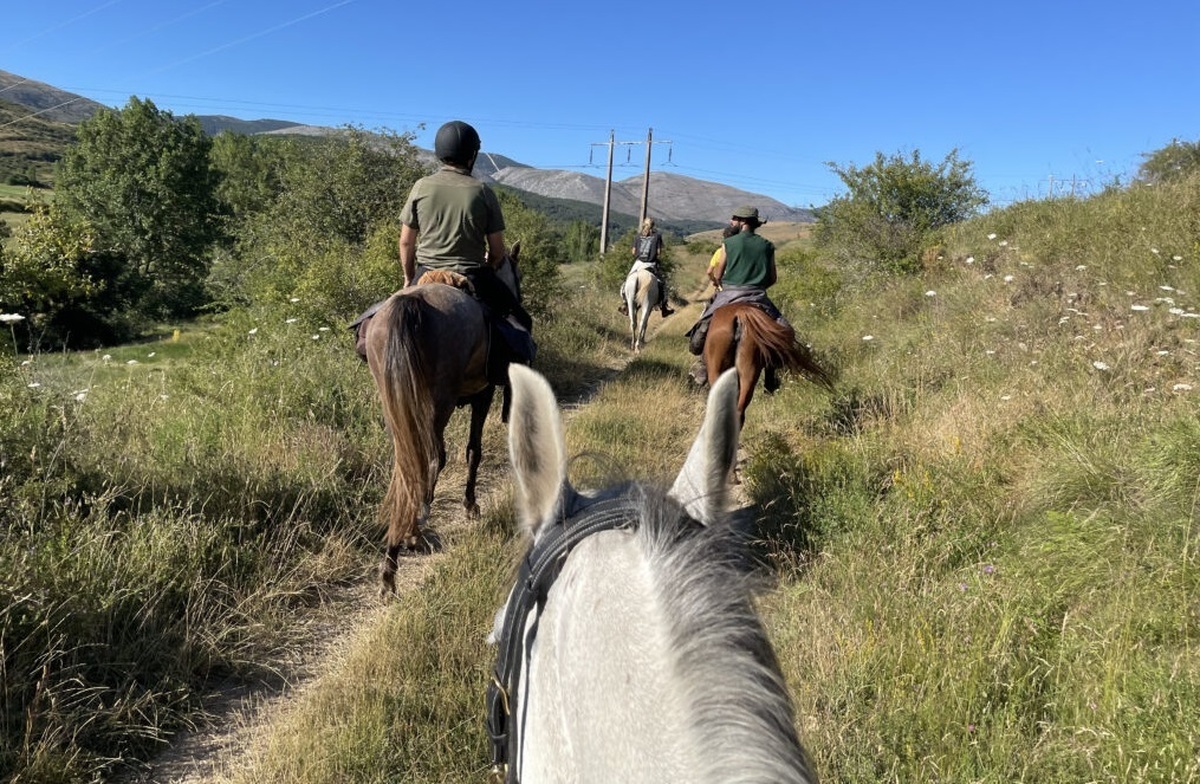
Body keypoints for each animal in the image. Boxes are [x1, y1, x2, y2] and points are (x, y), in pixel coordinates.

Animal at [360, 247, 520, 590]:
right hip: (437, 404)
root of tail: (411, 305)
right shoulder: (484, 394)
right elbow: (474, 451)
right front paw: (471, 506)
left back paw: (395, 555)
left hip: (396, 406)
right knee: (431, 459)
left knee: (406, 466)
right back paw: (409, 539)